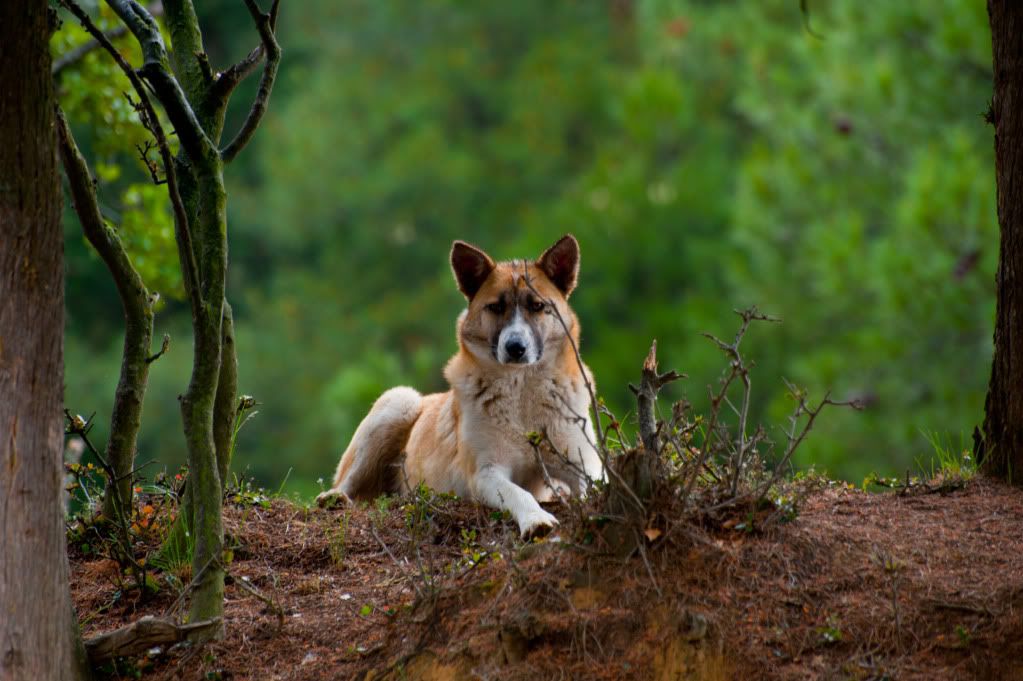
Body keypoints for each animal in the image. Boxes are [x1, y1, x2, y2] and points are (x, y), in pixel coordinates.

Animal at [315, 233, 601, 535]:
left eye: (537, 306)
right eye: (496, 307)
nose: (515, 347)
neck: (522, 391)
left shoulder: (583, 462)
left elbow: (593, 485)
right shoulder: (486, 473)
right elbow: (518, 492)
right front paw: (536, 519)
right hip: (399, 401)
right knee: (346, 482)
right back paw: (334, 497)